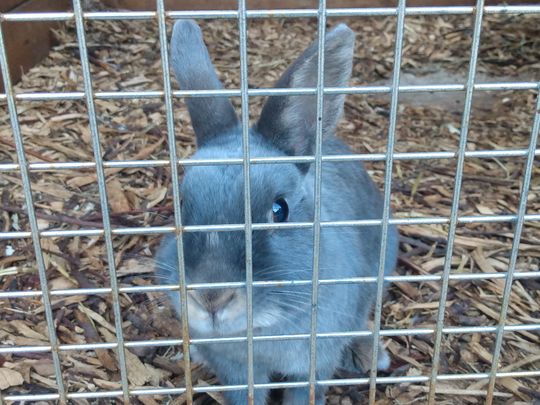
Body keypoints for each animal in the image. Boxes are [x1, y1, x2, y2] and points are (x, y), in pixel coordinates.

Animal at [154, 19, 398, 404]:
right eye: (180, 204)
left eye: (279, 209)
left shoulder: (312, 366)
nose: (211, 297)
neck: (260, 331)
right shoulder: (235, 371)